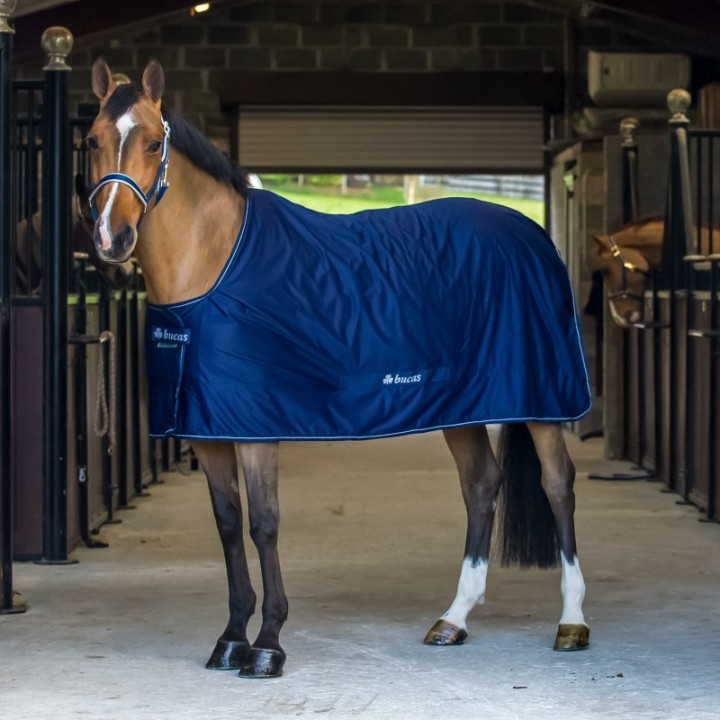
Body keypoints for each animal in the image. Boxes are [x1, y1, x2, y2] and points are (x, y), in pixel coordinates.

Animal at [86, 57, 592, 679]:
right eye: (92, 141)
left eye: (154, 143)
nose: (111, 238)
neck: (216, 263)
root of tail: (535, 235)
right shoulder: (208, 429)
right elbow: (228, 523)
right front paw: (231, 637)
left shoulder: (256, 428)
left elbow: (264, 523)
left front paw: (268, 645)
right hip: (463, 406)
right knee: (481, 486)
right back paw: (454, 619)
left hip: (543, 399)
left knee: (558, 485)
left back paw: (572, 621)